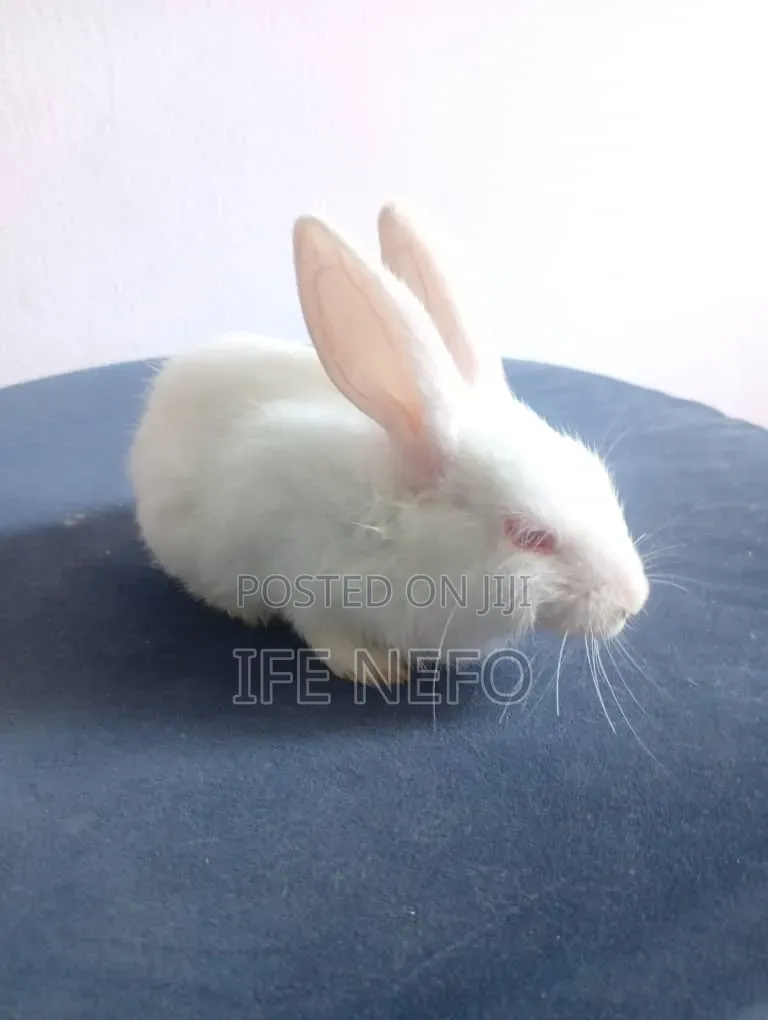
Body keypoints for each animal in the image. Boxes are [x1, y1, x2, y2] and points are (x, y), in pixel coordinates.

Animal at [129, 202, 649, 686]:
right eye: (530, 536)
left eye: (595, 474)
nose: (634, 600)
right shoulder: (302, 575)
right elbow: (326, 633)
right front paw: (377, 670)